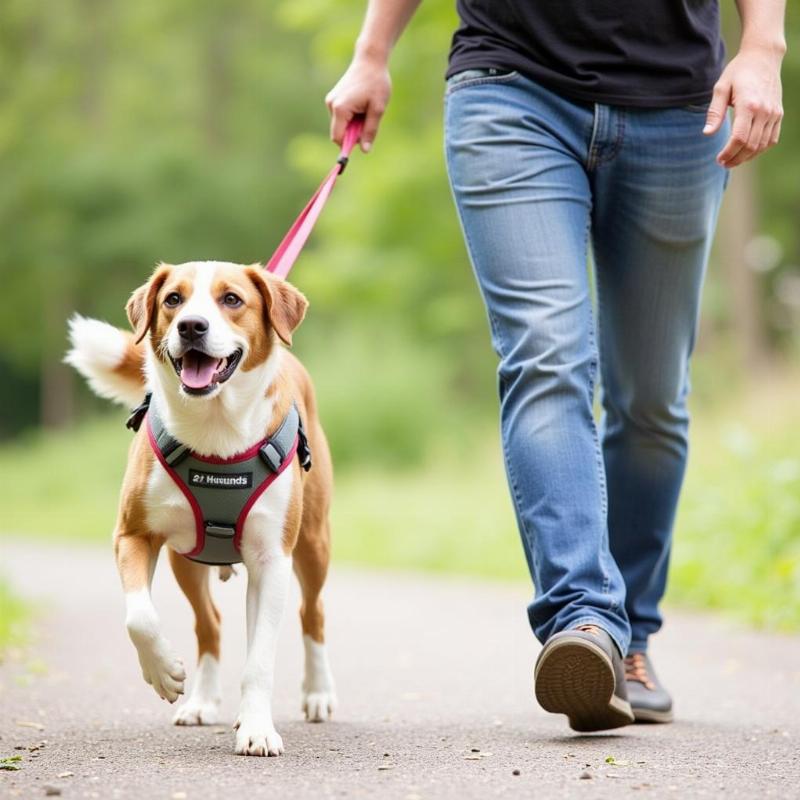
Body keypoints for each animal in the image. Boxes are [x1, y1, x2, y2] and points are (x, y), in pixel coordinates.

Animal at [65, 260, 334, 756]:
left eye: (232, 299)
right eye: (173, 299)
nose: (192, 326)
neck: (215, 427)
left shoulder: (273, 558)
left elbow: (260, 659)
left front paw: (257, 728)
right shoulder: (133, 534)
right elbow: (140, 616)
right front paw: (164, 672)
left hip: (312, 543)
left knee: (312, 613)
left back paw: (318, 693)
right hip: (186, 559)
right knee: (210, 624)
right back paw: (203, 703)